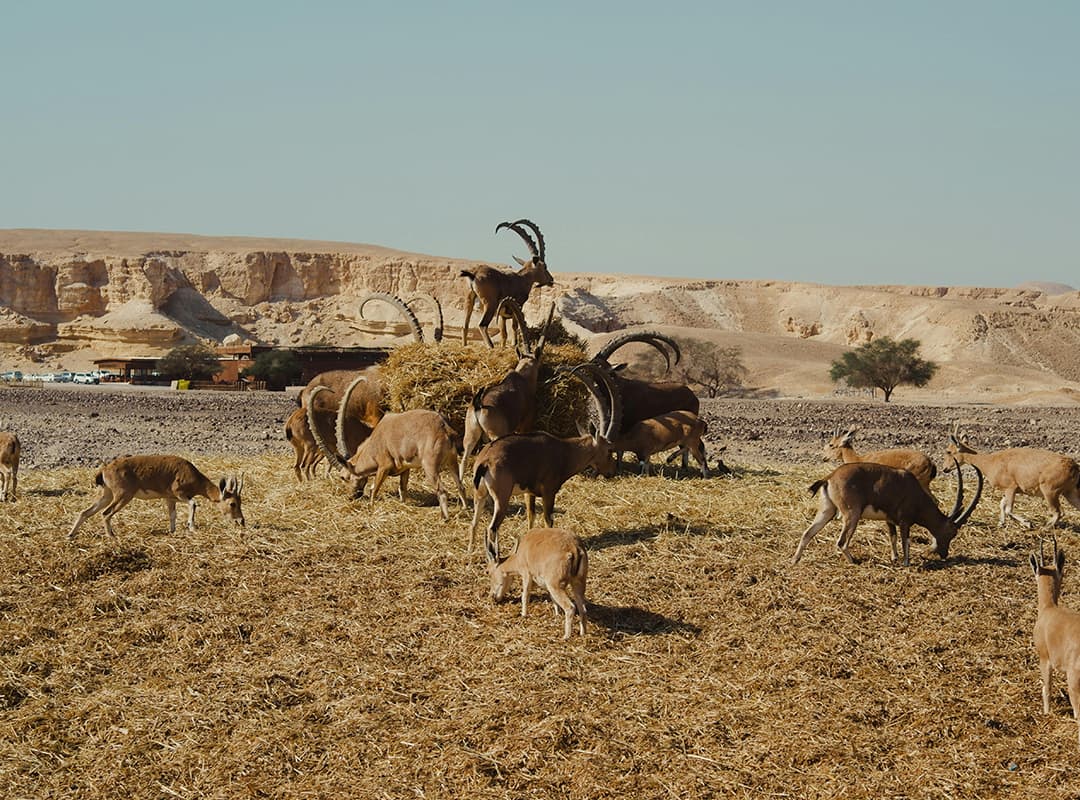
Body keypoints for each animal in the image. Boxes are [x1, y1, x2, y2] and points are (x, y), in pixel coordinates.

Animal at [69, 453, 245, 539]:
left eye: (240, 501)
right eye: (232, 503)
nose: (241, 521)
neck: (192, 475)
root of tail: (104, 471)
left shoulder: (170, 498)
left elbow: (172, 514)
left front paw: (172, 531)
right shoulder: (179, 493)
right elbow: (193, 503)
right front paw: (192, 527)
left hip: (106, 494)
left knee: (85, 512)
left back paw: (71, 535)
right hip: (123, 495)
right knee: (106, 513)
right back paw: (111, 536)